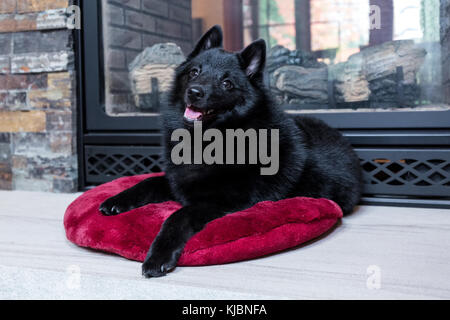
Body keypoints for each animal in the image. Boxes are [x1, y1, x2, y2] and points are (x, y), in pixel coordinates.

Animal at [99, 25, 362, 278]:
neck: (206, 139)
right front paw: (116, 201)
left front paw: (158, 257)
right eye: (194, 72)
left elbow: (177, 216)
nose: (194, 92)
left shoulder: (218, 201)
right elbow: (147, 182)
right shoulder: (178, 181)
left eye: (226, 83)